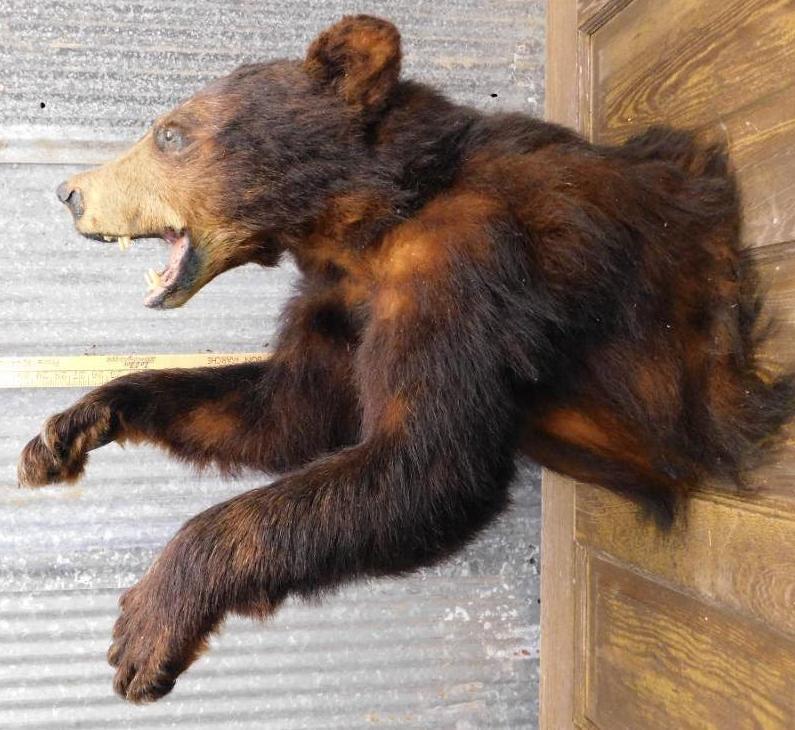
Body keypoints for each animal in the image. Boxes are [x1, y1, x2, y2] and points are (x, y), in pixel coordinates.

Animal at [17, 15, 794, 703]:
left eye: (170, 134)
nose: (68, 191)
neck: (366, 220)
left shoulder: (464, 263)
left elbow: (424, 461)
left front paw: (147, 622)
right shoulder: (340, 299)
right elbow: (281, 411)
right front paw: (69, 427)